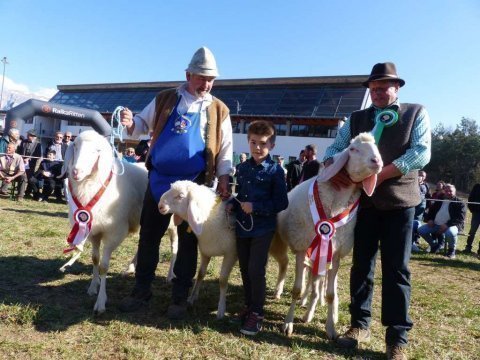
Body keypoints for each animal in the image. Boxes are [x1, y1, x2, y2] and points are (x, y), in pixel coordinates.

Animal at [62, 131, 177, 314]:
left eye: (96, 150)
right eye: (76, 146)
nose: (75, 172)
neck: (92, 186)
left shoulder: (114, 232)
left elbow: (104, 266)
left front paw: (101, 302)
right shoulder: (93, 231)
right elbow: (95, 259)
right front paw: (93, 286)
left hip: (173, 221)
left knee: (175, 247)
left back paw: (170, 275)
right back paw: (131, 267)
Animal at [158, 181, 286, 320]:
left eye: (180, 196)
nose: (160, 205)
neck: (209, 218)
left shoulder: (231, 254)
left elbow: (223, 281)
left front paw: (221, 309)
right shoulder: (205, 251)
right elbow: (200, 274)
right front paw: (192, 298)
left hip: (277, 243)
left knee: (284, 262)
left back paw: (278, 291)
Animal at [278, 133, 382, 340]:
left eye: (376, 147)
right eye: (353, 149)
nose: (377, 161)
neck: (336, 203)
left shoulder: (335, 254)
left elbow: (330, 294)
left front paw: (331, 328)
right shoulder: (302, 248)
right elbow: (296, 289)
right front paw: (288, 323)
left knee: (318, 284)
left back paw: (312, 310)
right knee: (309, 279)